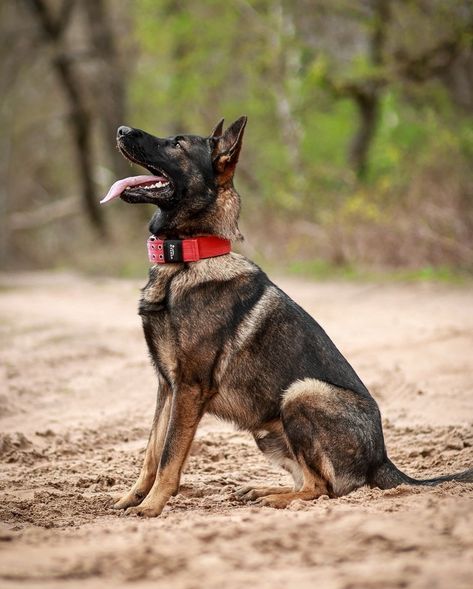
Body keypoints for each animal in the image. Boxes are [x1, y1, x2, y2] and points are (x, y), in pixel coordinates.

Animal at [101, 115, 470, 516]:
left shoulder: (188, 387)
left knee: (322, 488)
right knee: (309, 481)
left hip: (300, 393)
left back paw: (274, 498)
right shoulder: (167, 386)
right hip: (268, 430)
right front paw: (130, 498)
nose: (121, 131)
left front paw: (151, 507)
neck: (187, 259)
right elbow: (151, 452)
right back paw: (263, 490)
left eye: (178, 144)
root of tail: (382, 459)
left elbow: (169, 455)